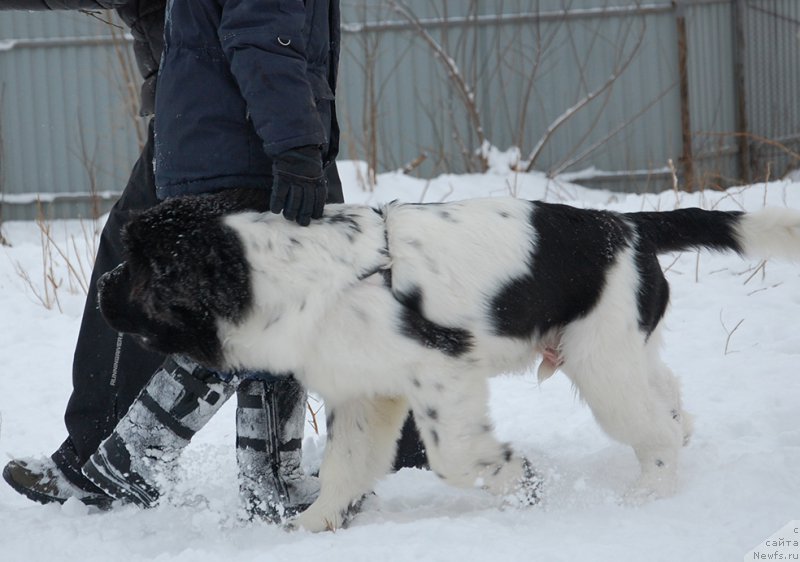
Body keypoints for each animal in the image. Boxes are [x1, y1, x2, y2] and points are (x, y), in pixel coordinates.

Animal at [98, 189, 800, 528]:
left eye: (137, 265)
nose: (102, 286)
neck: (282, 273)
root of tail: (628, 225)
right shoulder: (366, 391)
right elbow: (348, 468)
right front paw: (312, 529)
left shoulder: (441, 367)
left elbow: (456, 455)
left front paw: (520, 482)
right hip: (621, 348)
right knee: (668, 397)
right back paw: (682, 431)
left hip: (602, 364)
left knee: (653, 432)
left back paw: (647, 493)